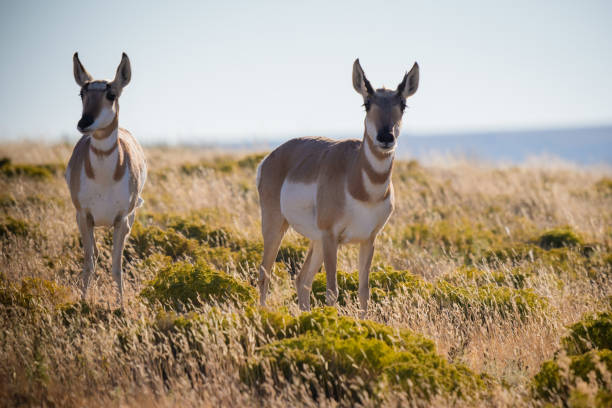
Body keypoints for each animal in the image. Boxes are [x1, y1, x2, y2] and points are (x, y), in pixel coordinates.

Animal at [65, 52, 146, 304]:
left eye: (111, 94)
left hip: (129, 221)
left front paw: (121, 305)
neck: (104, 179)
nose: (84, 123)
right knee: (95, 253)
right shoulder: (84, 217)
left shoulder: (120, 220)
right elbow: (89, 263)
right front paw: (82, 302)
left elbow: (116, 266)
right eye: (82, 93)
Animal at [256, 59, 418, 316]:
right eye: (367, 103)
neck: (362, 188)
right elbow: (332, 291)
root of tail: (271, 157)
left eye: (402, 104)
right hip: (276, 226)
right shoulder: (331, 237)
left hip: (315, 241)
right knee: (265, 274)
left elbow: (364, 292)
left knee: (302, 279)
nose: (385, 136)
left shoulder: (368, 240)